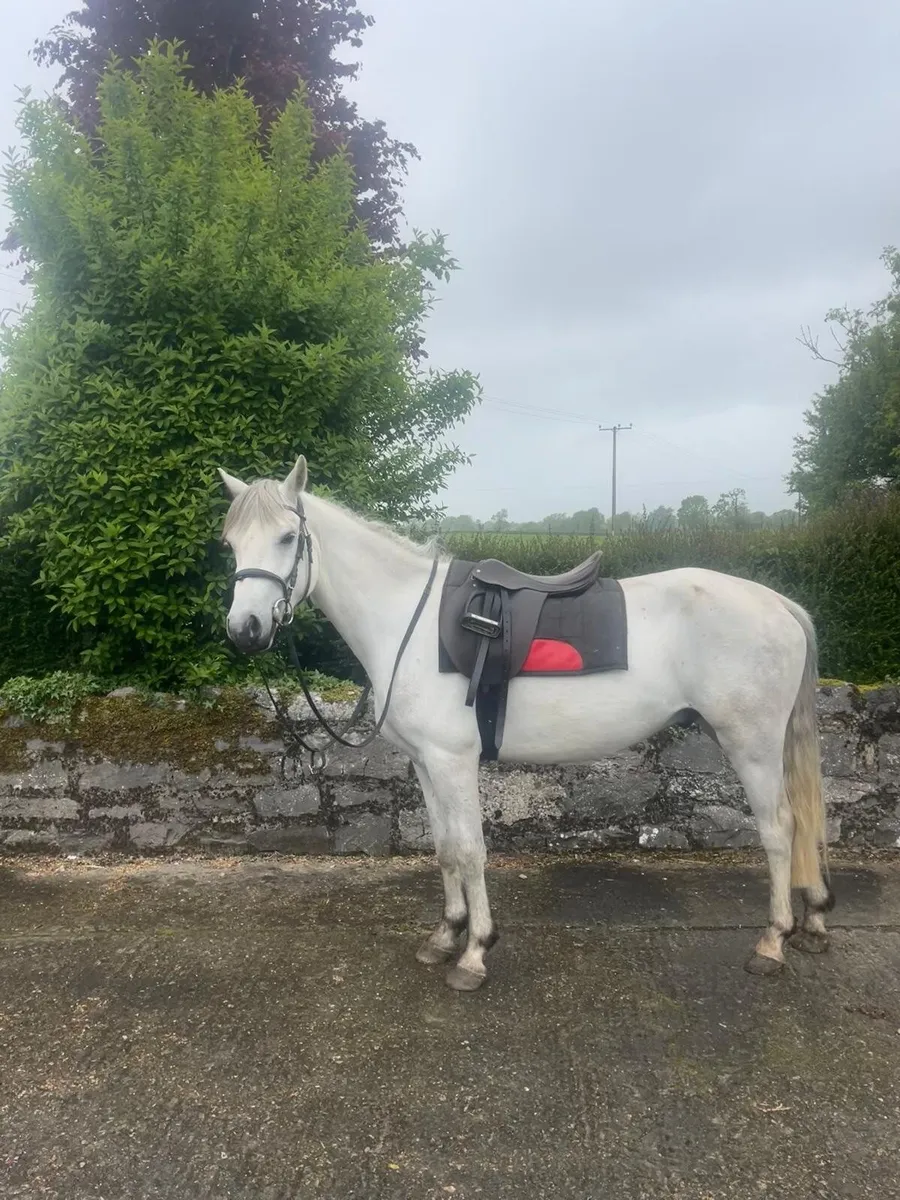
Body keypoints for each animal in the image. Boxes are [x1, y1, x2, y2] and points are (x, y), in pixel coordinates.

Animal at [218, 456, 833, 992]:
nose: (246, 630)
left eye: (287, 538)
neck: (406, 622)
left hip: (751, 745)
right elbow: (445, 847)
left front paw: (474, 953)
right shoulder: (425, 764)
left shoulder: (454, 760)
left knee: (780, 828)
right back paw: (813, 923)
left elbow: (471, 850)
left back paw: (773, 942)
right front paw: (446, 934)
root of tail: (778, 604)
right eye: (231, 543)